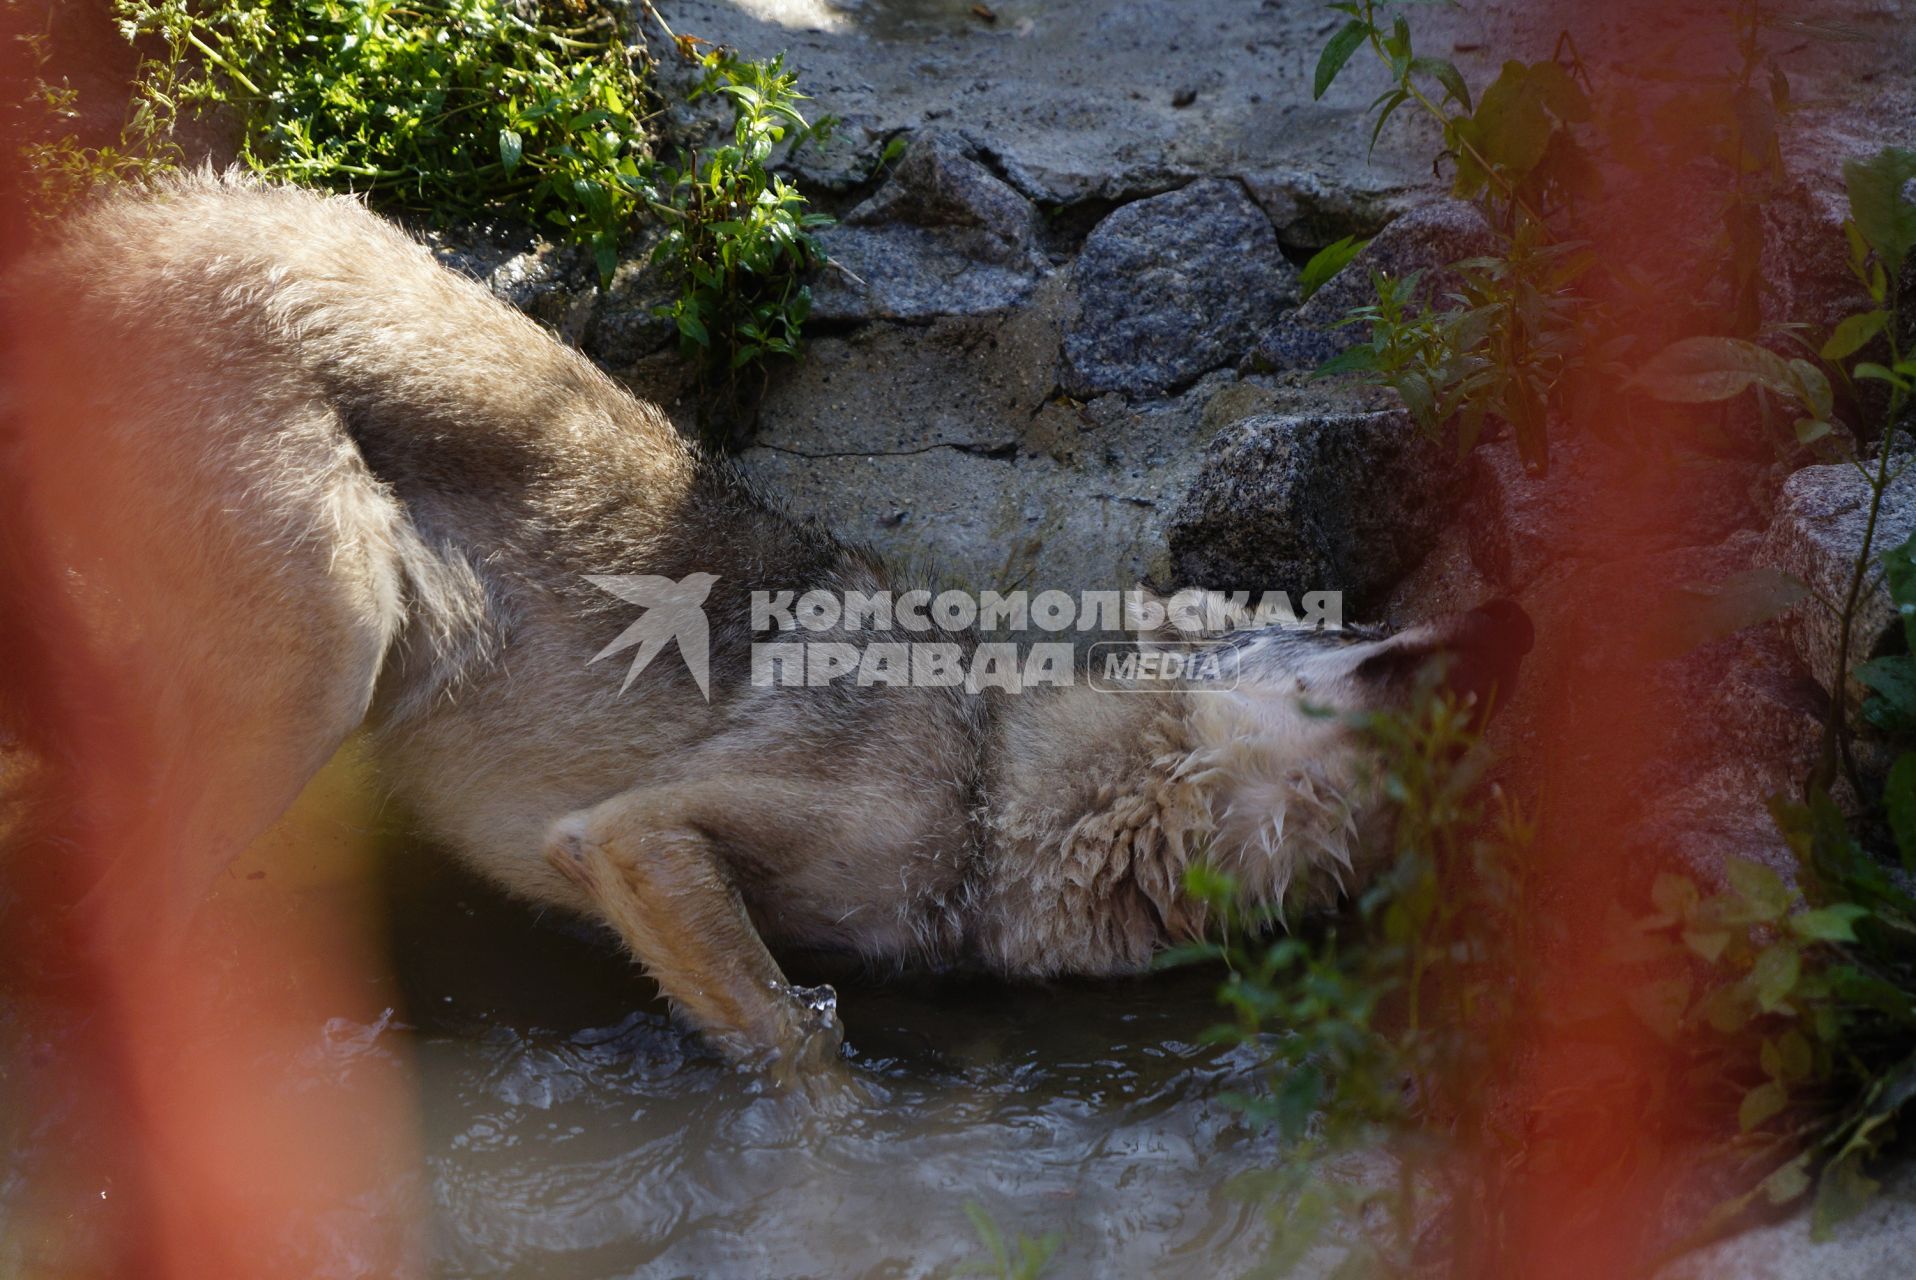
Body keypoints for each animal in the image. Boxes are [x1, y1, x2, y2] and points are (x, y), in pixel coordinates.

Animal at [0, 172, 1525, 1080]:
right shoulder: (632, 837)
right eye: (1329, 619)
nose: (1495, 621)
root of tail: (80, 252)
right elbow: (804, 1052)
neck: (1001, 773)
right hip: (330, 654)